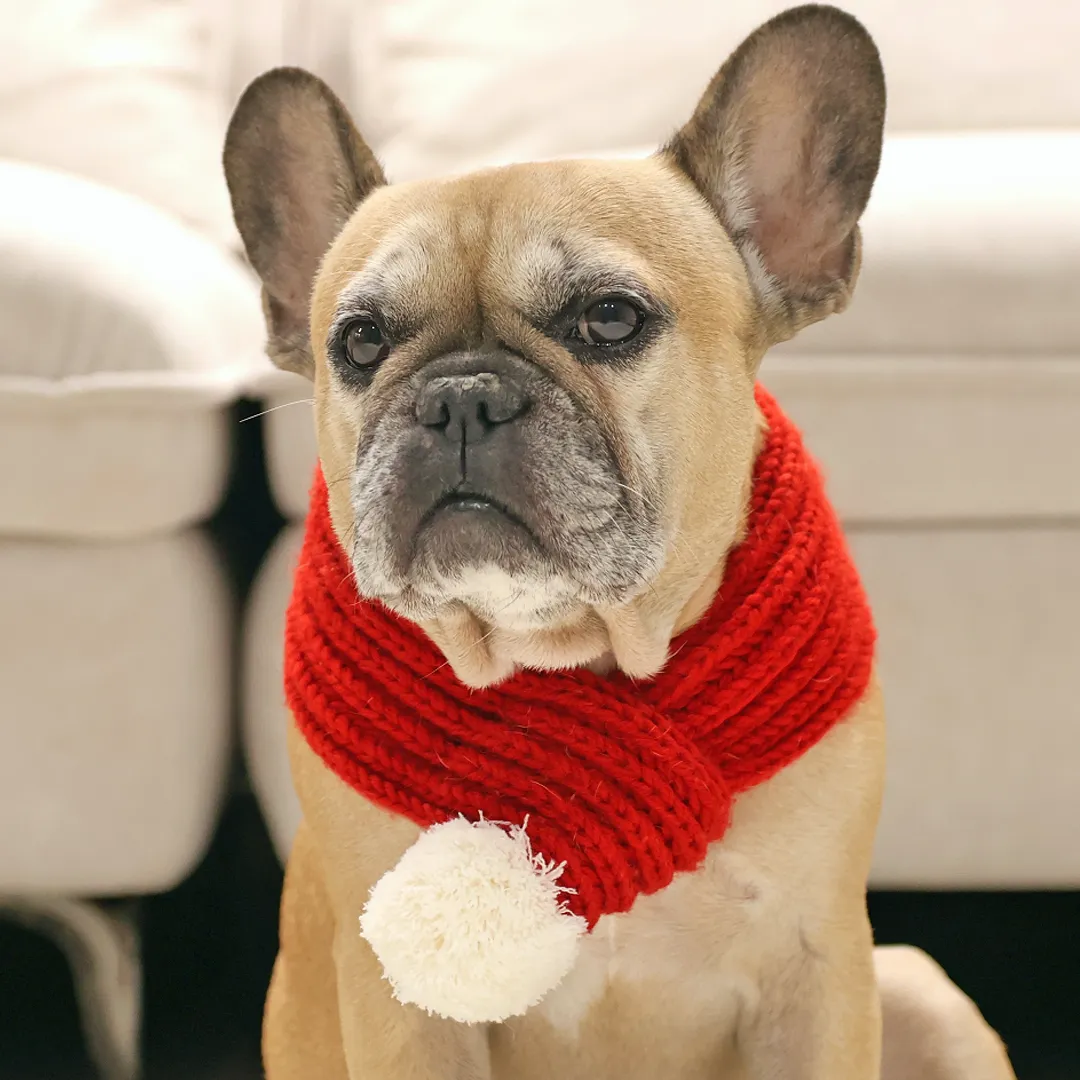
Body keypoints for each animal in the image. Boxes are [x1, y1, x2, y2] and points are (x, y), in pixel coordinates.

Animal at [223, 4, 1015, 1075]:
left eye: (609, 318)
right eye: (359, 342)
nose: (458, 397)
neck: (570, 648)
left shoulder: (818, 969)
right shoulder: (405, 1015)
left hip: (922, 994)